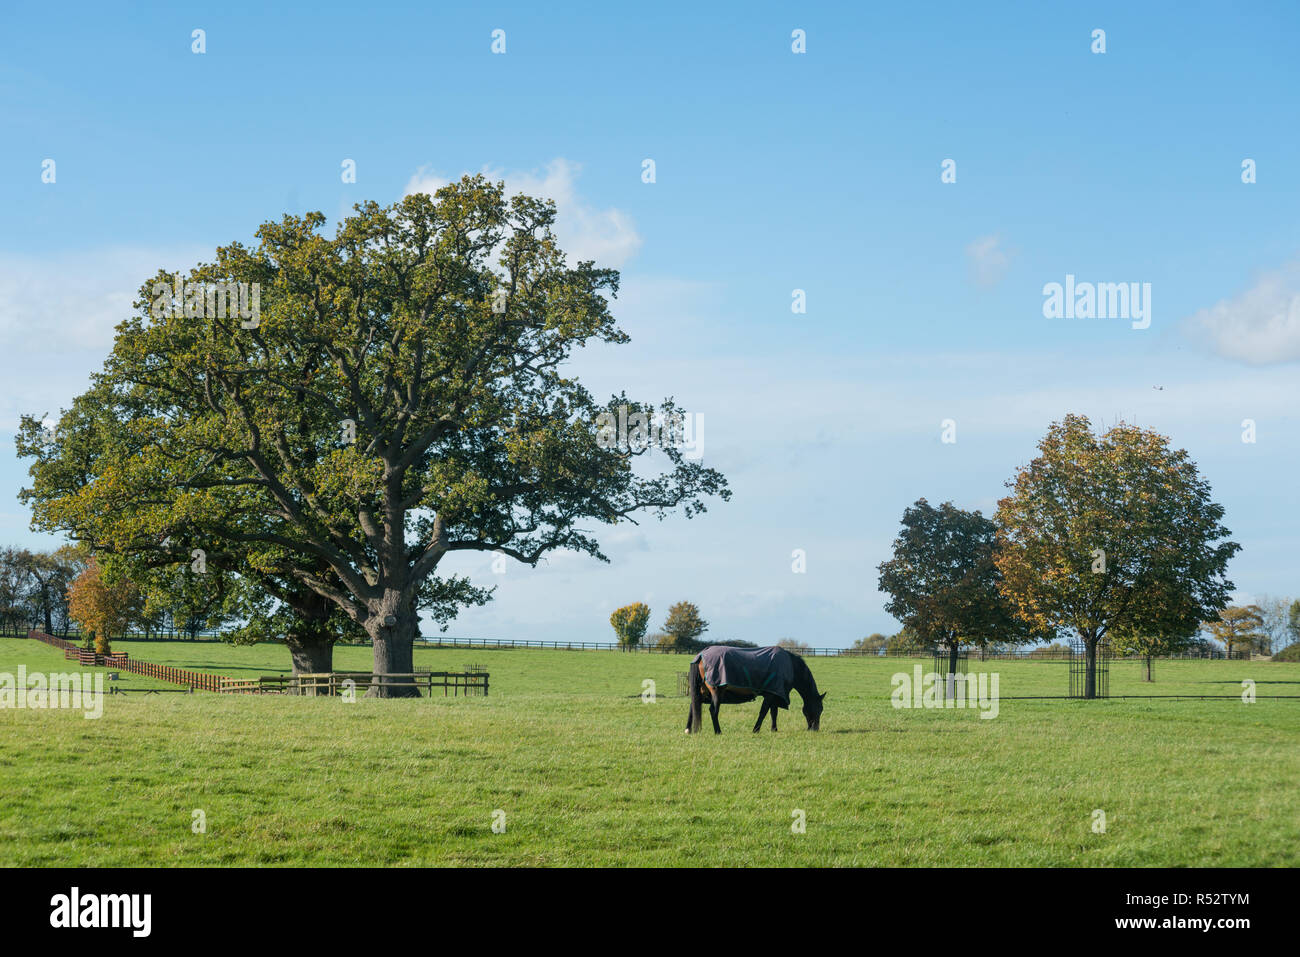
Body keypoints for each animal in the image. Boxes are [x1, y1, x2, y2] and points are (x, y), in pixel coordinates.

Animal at [685, 645, 826, 734]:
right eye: (819, 709)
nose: (815, 729)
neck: (791, 666)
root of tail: (701, 655)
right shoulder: (770, 695)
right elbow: (763, 712)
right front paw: (756, 730)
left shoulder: (775, 693)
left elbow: (773, 712)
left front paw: (774, 729)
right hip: (716, 691)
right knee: (713, 710)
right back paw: (718, 731)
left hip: (702, 690)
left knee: (694, 705)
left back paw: (689, 730)